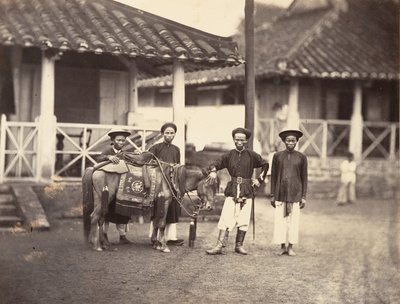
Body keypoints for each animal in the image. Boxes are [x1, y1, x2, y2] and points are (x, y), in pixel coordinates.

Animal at [82, 156, 219, 253]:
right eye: (208, 185)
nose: (210, 207)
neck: (169, 178)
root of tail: (96, 168)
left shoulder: (157, 204)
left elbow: (156, 223)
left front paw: (156, 243)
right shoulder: (164, 203)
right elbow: (162, 223)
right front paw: (163, 246)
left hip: (103, 200)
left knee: (100, 219)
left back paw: (103, 243)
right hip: (104, 197)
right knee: (94, 217)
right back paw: (96, 245)